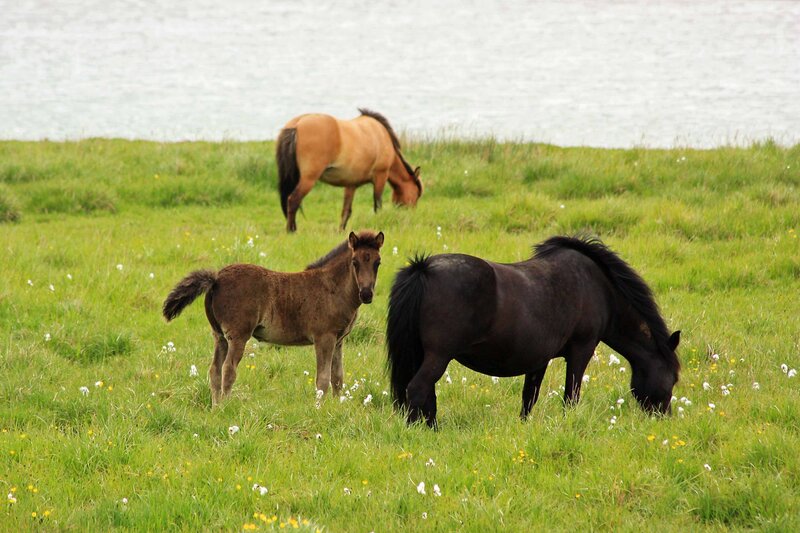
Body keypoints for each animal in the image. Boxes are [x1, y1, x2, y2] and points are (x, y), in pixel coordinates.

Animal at [162, 230, 384, 406]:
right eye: (355, 262)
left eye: (377, 262)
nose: (366, 294)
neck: (333, 288)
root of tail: (216, 279)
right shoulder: (324, 338)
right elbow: (322, 379)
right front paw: (319, 409)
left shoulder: (338, 340)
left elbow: (337, 378)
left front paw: (337, 408)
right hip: (238, 335)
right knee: (228, 370)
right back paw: (226, 407)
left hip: (219, 336)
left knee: (214, 371)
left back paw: (215, 408)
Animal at [276, 108, 423, 232]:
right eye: (417, 194)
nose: (412, 214)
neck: (381, 136)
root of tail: (297, 125)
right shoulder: (381, 176)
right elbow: (378, 204)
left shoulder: (351, 184)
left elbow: (346, 210)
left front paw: (341, 231)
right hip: (309, 179)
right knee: (293, 200)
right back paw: (291, 231)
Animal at [386, 235, 681, 428]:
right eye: (673, 378)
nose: (664, 418)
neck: (599, 288)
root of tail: (423, 268)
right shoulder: (582, 349)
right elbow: (570, 396)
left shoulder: (539, 358)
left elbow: (530, 397)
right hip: (439, 355)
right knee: (418, 389)